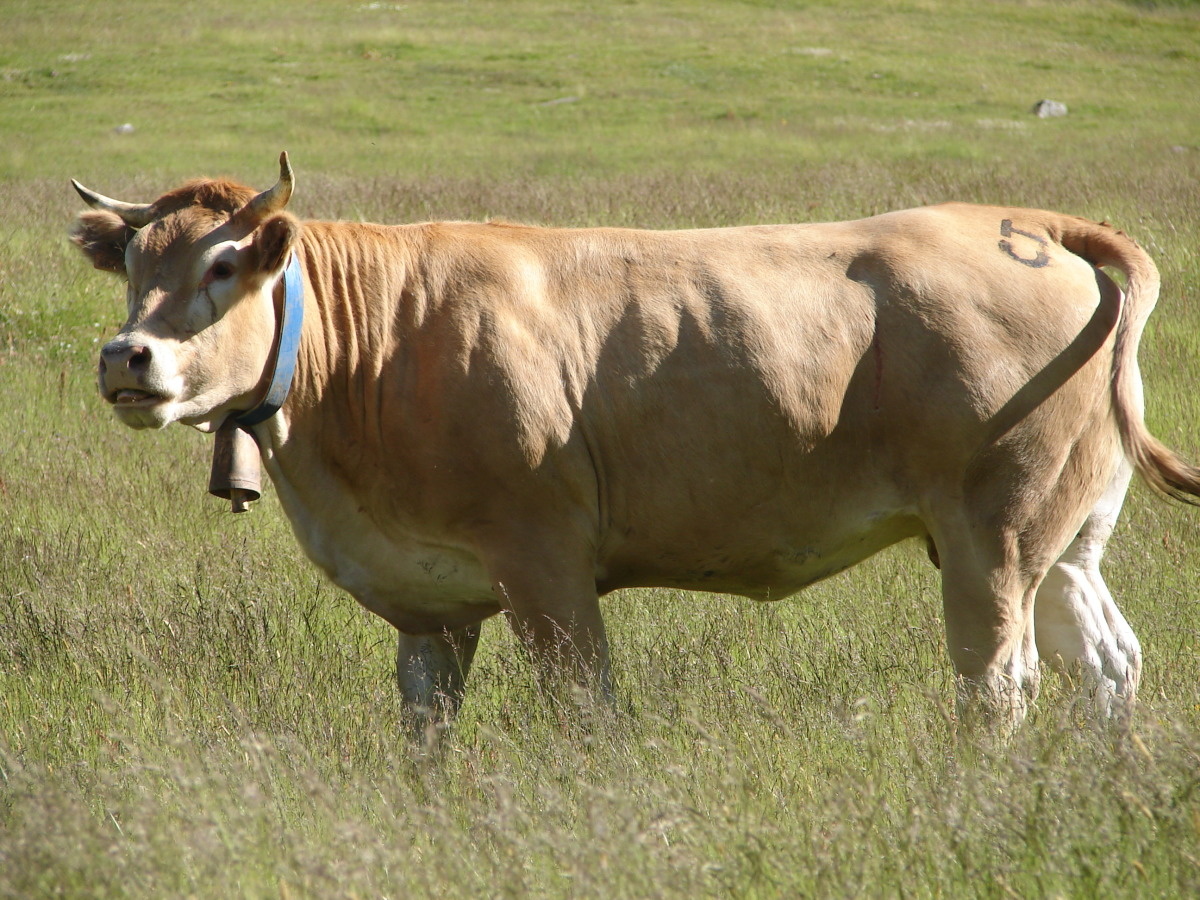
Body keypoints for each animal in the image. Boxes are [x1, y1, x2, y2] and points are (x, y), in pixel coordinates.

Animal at [72, 151, 1200, 734]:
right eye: (133, 261)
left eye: (223, 265)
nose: (127, 355)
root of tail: (1027, 223)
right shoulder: (429, 601)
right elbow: (426, 730)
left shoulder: (544, 563)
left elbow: (586, 712)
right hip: (1064, 536)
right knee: (1108, 660)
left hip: (991, 536)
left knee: (998, 684)